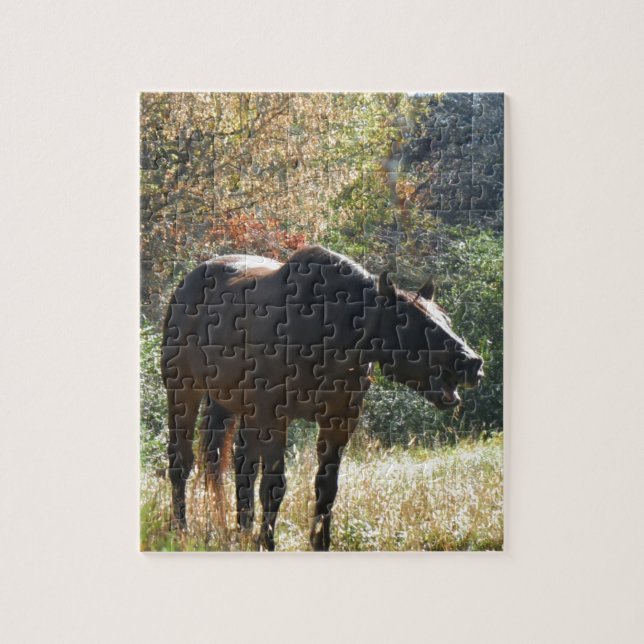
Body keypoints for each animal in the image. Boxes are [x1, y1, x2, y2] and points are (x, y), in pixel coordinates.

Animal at [161, 245, 484, 551]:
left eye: (446, 319)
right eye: (418, 323)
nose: (473, 364)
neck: (324, 328)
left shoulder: (338, 421)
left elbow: (326, 489)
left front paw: (320, 543)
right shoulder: (274, 417)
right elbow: (274, 486)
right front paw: (267, 544)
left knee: (242, 467)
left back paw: (242, 531)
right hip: (183, 393)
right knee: (182, 462)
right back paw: (181, 530)